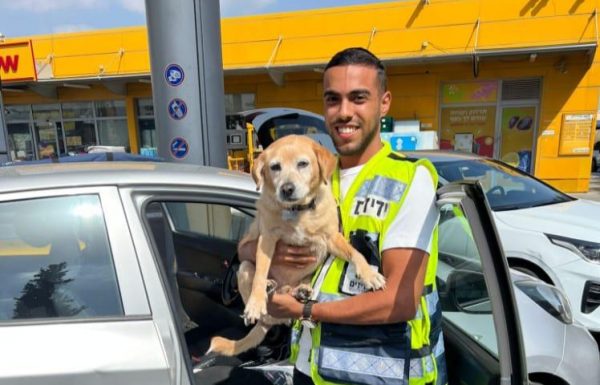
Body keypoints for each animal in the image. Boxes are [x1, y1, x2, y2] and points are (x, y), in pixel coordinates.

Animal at [209, 134, 386, 356]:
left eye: (303, 163)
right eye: (275, 167)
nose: (287, 189)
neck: (298, 211)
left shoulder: (331, 237)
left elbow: (355, 253)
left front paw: (369, 274)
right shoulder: (266, 240)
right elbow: (260, 273)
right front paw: (255, 303)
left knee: (294, 290)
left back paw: (300, 291)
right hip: (244, 268)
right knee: (257, 278)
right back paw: (269, 288)